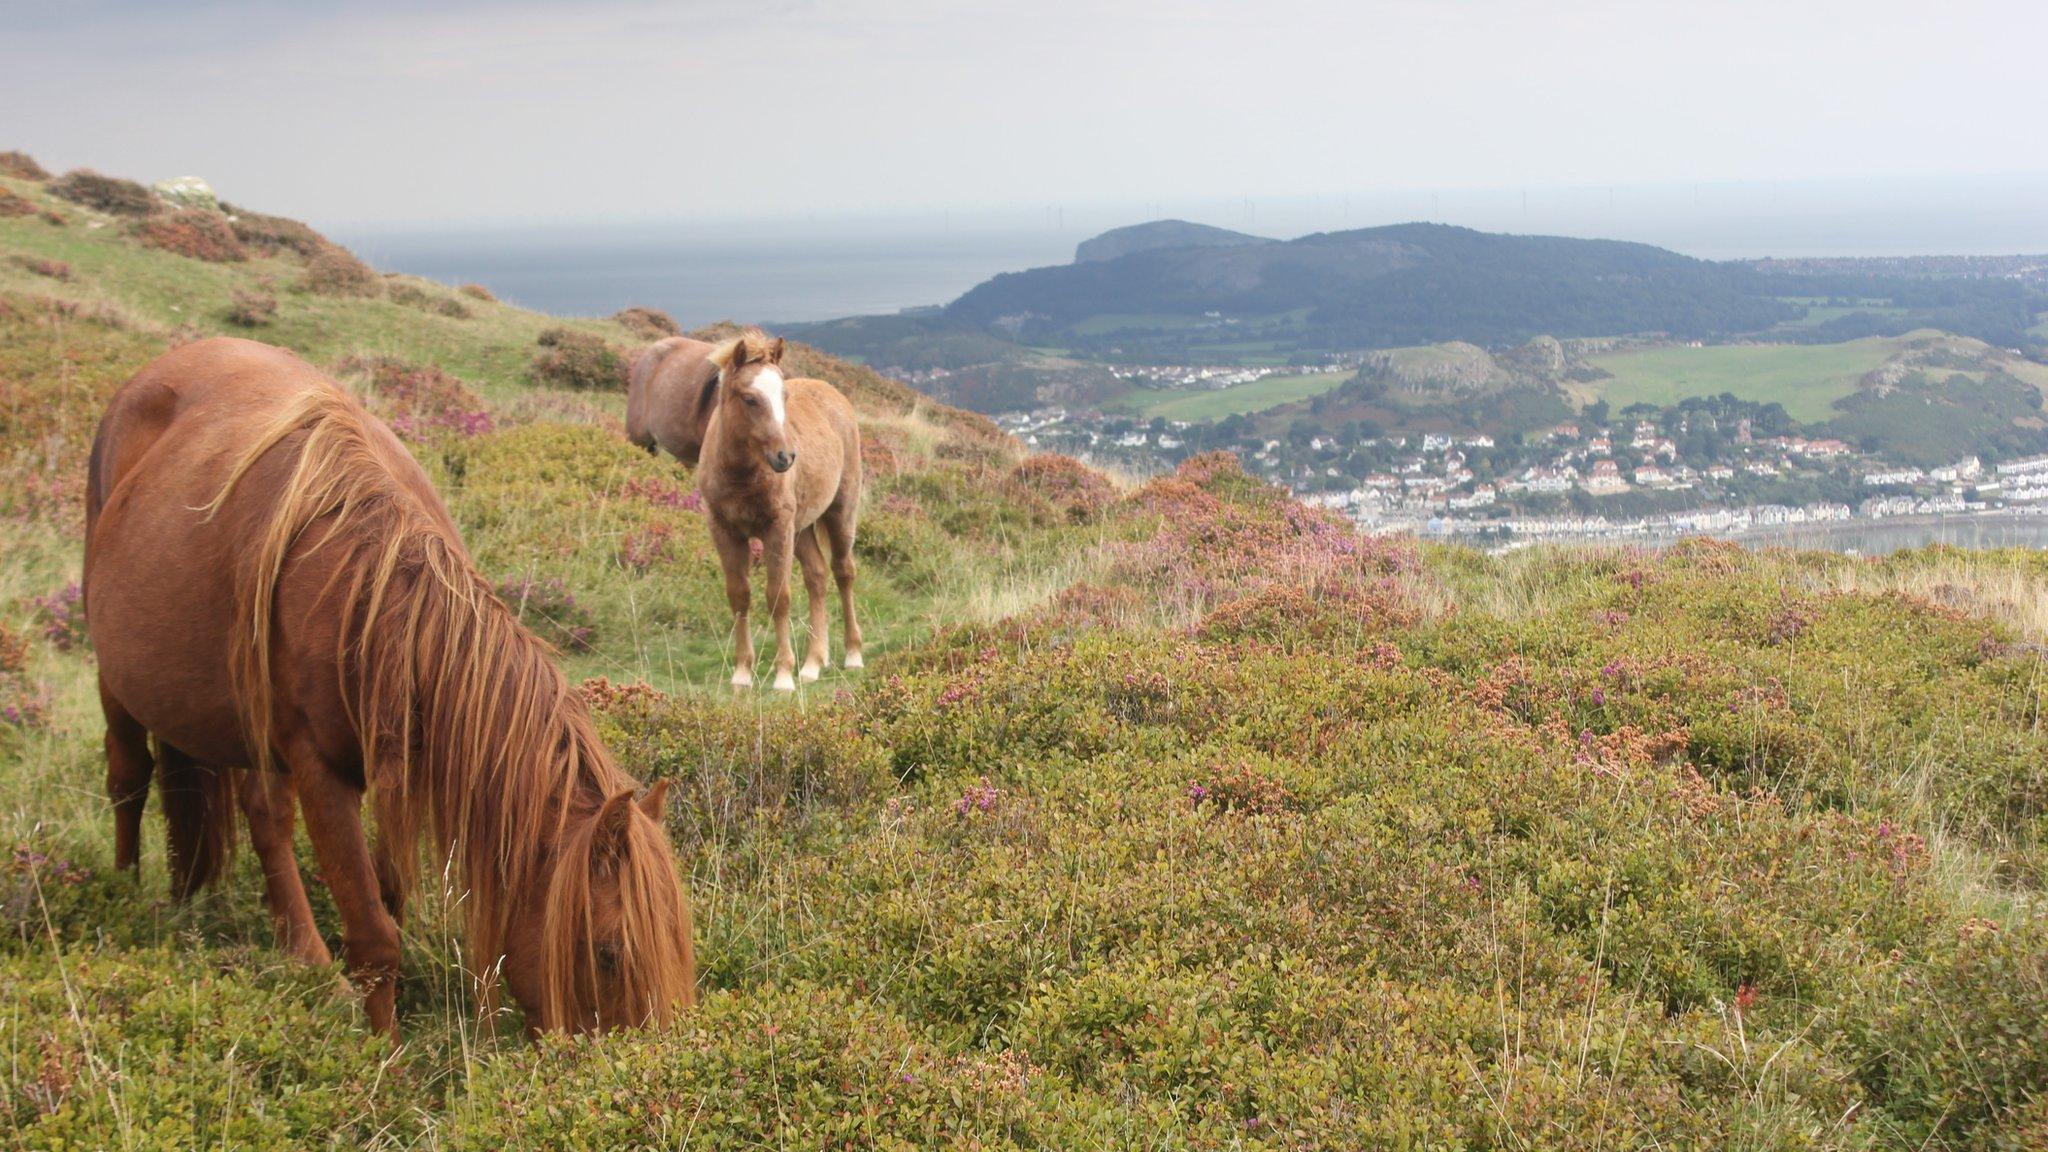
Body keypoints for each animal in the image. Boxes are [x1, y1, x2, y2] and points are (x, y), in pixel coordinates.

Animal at [83, 336, 696, 1037]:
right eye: (608, 952)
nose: (650, 1056)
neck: (367, 595)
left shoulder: (391, 771)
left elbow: (389, 898)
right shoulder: (321, 770)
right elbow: (375, 935)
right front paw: (385, 1053)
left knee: (261, 815)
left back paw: (298, 950)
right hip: (119, 678)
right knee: (128, 778)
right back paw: (126, 895)